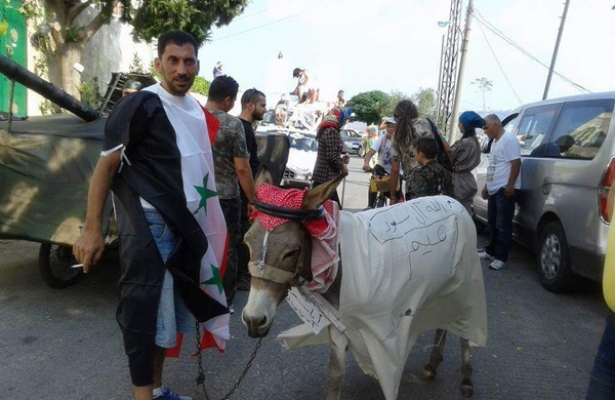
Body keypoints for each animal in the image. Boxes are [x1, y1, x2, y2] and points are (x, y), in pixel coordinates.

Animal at [242, 169, 487, 400]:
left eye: (291, 251)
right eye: (247, 242)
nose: (254, 320)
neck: (337, 263)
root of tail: (453, 201)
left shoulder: (385, 337)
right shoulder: (340, 325)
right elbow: (334, 377)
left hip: (465, 283)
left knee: (464, 327)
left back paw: (466, 378)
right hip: (442, 289)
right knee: (443, 320)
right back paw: (432, 365)